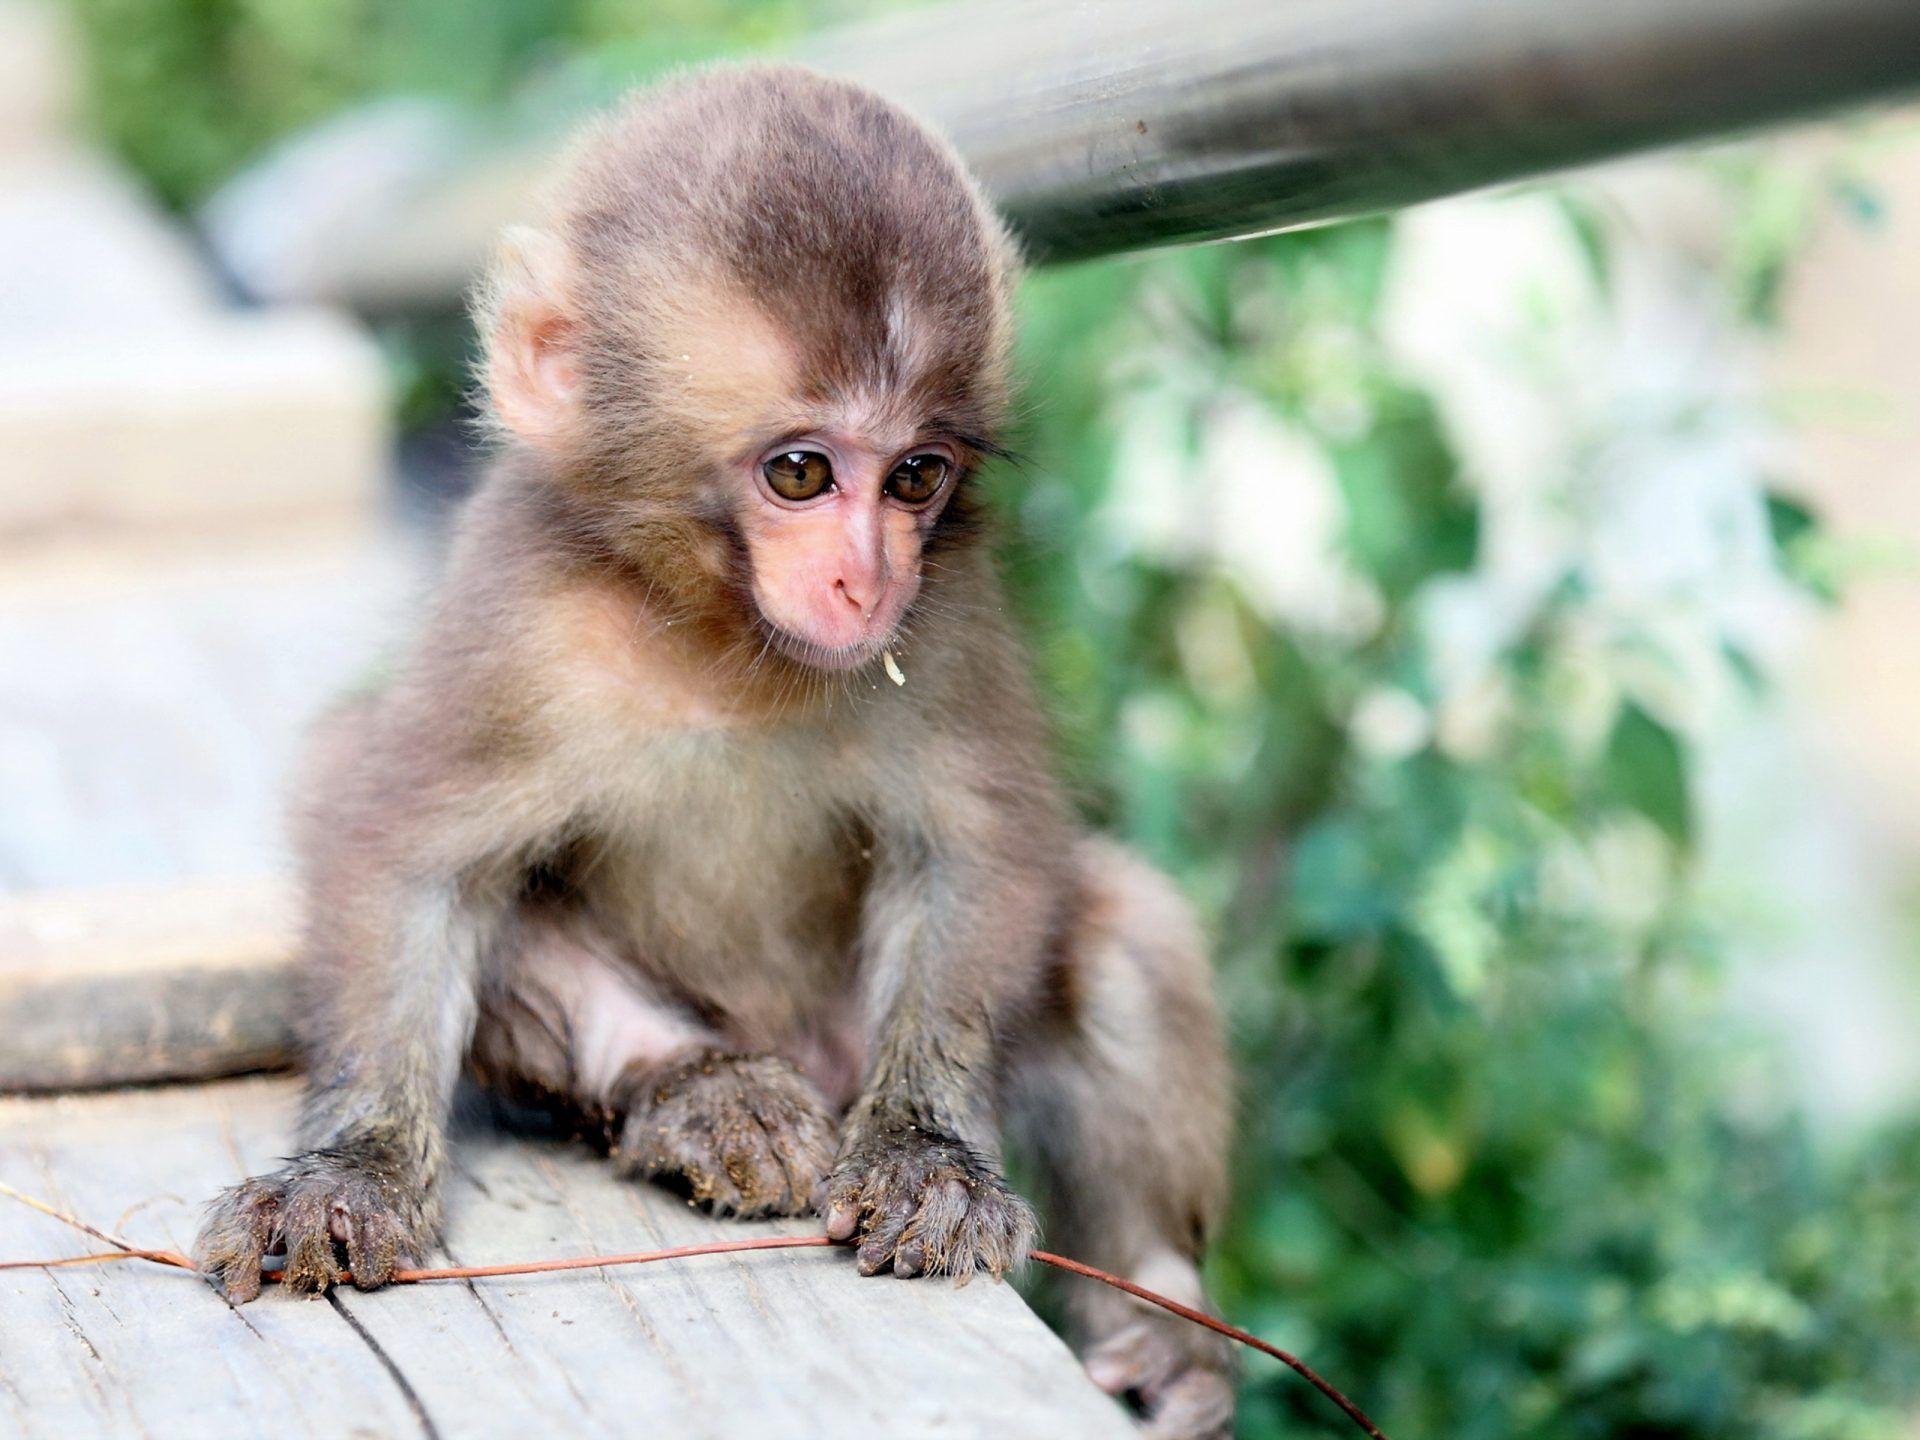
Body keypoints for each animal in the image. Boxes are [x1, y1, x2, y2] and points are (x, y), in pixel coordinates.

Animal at [194, 64, 1233, 1438]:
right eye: (800, 473)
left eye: (916, 478)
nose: (866, 581)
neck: (720, 637)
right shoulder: (514, 613)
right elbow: (392, 841)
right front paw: (350, 1169)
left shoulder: (945, 618)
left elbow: (981, 841)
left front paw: (926, 1152)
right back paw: (698, 1088)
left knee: (1119, 925)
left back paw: (1162, 1317)